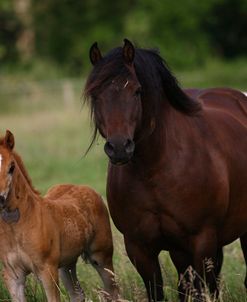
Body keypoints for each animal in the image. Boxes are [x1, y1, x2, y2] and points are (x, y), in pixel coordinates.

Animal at [0, 130, 118, 302]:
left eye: (11, 167)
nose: (0, 198)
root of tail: (87, 188)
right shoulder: (12, 276)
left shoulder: (47, 271)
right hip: (66, 264)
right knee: (77, 294)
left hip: (101, 255)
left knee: (112, 290)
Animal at [84, 39, 247, 300]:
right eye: (96, 94)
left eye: (137, 91)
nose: (119, 147)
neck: (155, 170)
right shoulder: (139, 248)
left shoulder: (202, 241)